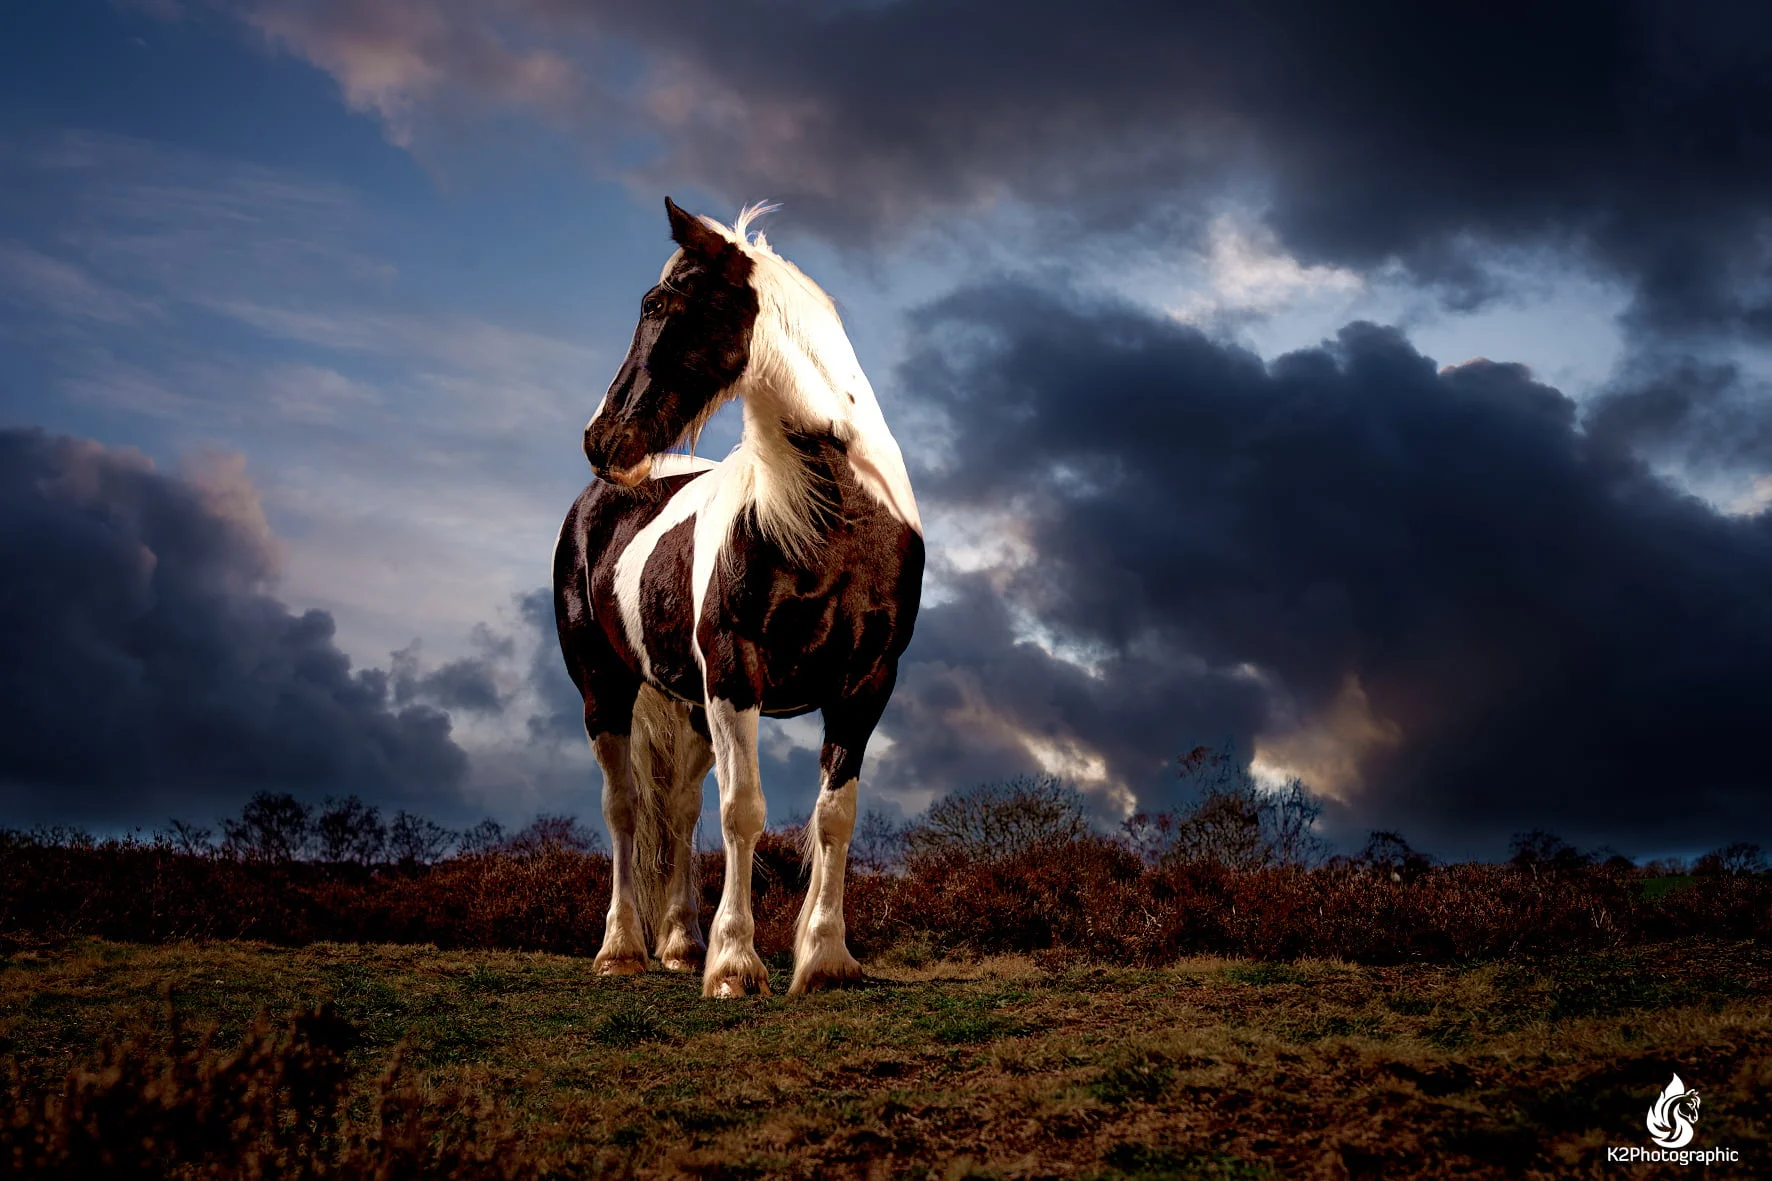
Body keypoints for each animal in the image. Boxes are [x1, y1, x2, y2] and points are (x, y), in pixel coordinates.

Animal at [553, 197, 923, 997]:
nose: (601, 439)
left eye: (658, 304)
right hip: (605, 689)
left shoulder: (869, 682)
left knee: (678, 812)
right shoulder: (734, 671)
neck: (835, 519)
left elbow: (833, 818)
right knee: (626, 808)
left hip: (686, 705)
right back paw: (622, 949)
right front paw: (734, 964)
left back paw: (677, 944)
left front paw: (824, 959)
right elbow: (743, 812)